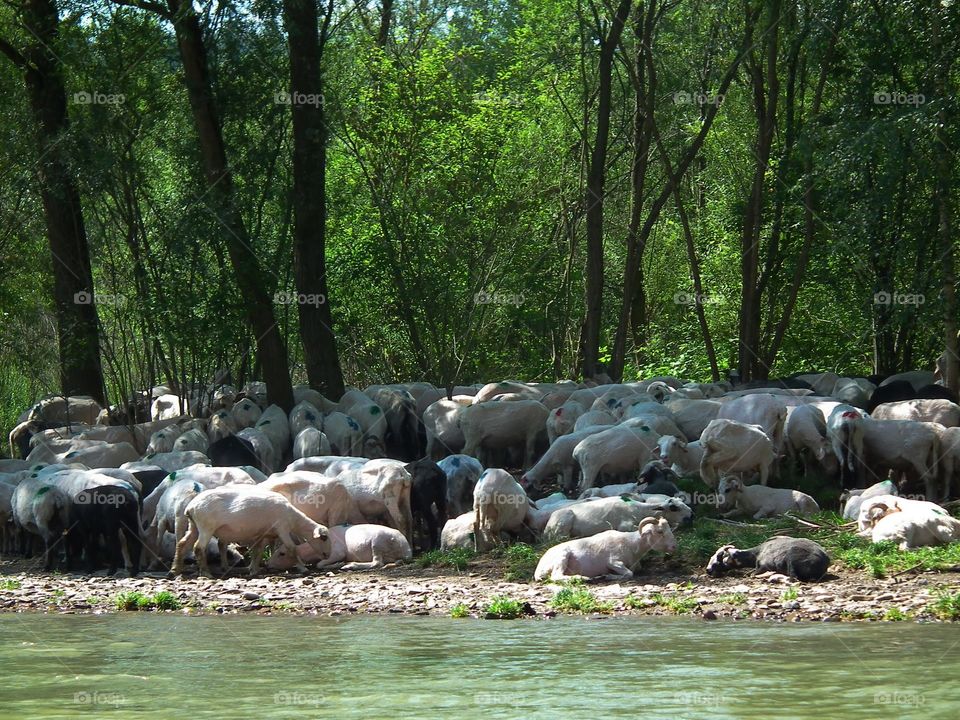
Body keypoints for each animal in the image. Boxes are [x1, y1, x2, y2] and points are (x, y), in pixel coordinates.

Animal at [534, 517, 677, 581]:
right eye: (659, 531)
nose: (674, 546)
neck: (632, 544)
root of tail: (538, 568)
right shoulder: (613, 561)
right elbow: (629, 573)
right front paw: (608, 575)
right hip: (562, 557)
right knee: (556, 576)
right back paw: (583, 578)